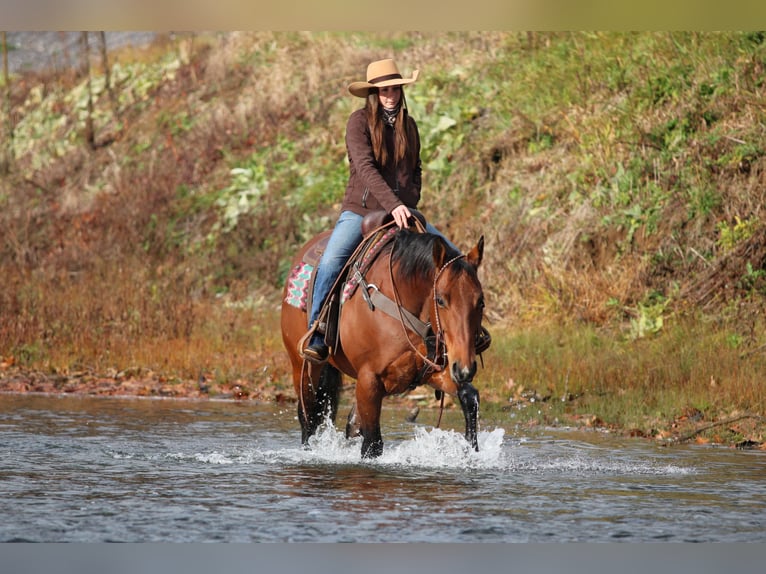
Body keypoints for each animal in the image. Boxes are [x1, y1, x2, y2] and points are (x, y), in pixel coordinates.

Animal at [280, 221, 486, 458]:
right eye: (440, 300)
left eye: (481, 301)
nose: (465, 368)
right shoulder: (369, 380)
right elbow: (372, 444)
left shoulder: (433, 371)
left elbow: (470, 397)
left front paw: (471, 450)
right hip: (303, 366)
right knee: (309, 417)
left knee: (349, 423)